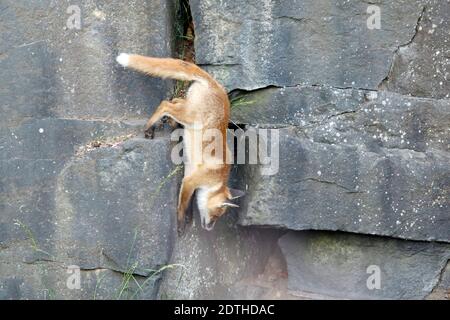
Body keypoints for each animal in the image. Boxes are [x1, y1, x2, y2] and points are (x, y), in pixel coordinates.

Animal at [115, 52, 243, 232]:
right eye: (216, 215)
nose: (209, 228)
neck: (216, 180)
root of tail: (214, 82)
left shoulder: (188, 174)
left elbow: (187, 200)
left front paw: (187, 218)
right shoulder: (191, 180)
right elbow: (183, 204)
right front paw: (182, 222)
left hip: (187, 109)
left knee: (175, 100)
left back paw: (170, 123)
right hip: (190, 116)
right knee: (165, 105)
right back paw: (149, 127)